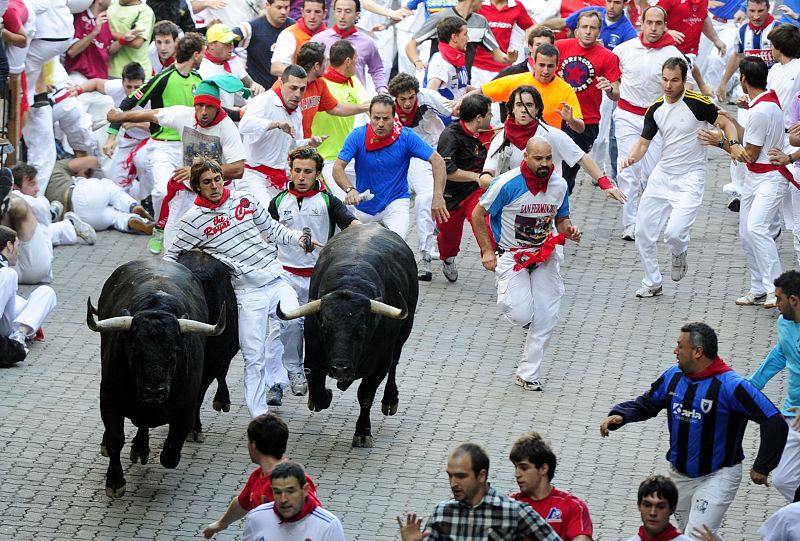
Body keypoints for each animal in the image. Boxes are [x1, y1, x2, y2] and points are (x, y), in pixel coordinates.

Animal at [88, 255, 239, 496]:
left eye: (175, 351)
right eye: (133, 349)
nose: (153, 392)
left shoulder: (187, 403)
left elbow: (172, 450)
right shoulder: (109, 398)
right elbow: (115, 438)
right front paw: (115, 482)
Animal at [278, 224, 418, 448]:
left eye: (361, 329)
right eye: (325, 327)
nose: (340, 369)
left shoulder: (380, 365)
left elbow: (366, 396)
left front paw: (363, 432)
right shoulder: (313, 358)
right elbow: (318, 392)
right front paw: (324, 396)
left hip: (405, 330)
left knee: (395, 362)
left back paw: (390, 401)